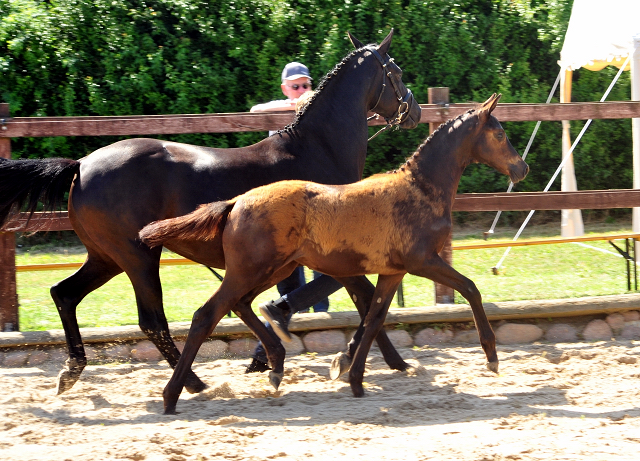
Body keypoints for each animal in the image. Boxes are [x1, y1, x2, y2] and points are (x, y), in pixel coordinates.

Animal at [0, 30, 420, 394]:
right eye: (396, 71)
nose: (414, 111)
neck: (317, 149)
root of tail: (81, 165)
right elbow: (364, 299)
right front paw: (384, 361)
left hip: (106, 257)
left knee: (65, 294)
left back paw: (72, 372)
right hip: (138, 256)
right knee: (151, 320)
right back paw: (194, 383)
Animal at [140, 91, 528, 412]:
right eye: (499, 134)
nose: (521, 168)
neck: (419, 189)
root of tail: (236, 202)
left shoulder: (393, 272)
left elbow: (374, 317)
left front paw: (354, 377)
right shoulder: (423, 261)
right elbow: (470, 289)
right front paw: (491, 355)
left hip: (273, 270)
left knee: (242, 304)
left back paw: (275, 365)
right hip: (248, 271)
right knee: (206, 315)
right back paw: (173, 395)